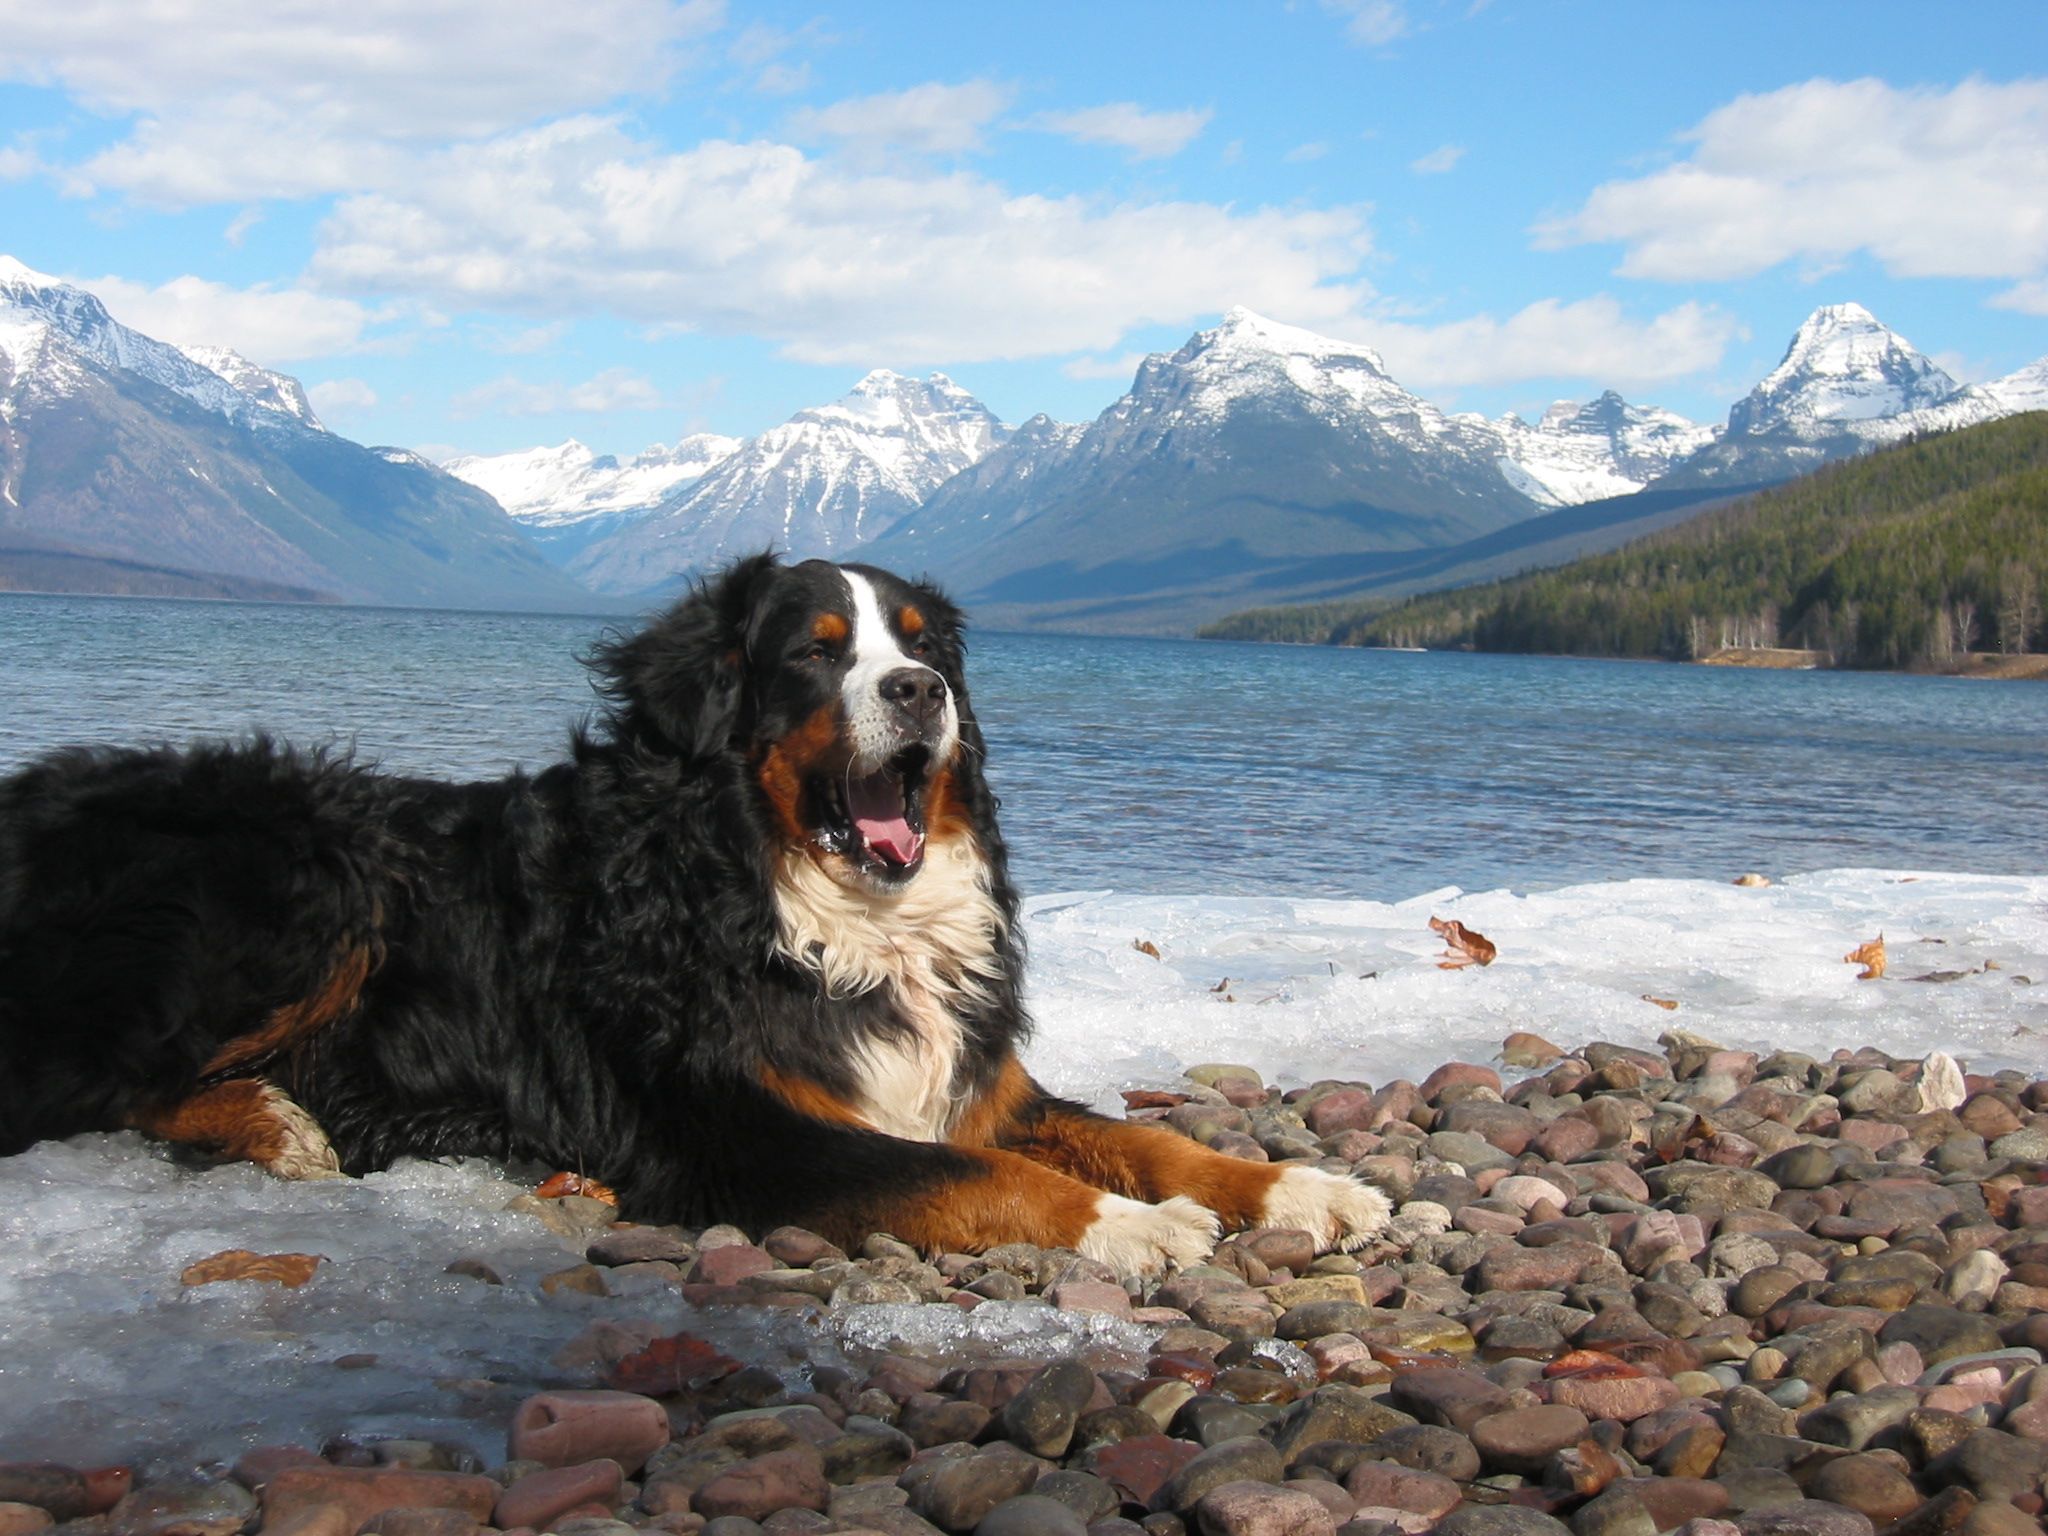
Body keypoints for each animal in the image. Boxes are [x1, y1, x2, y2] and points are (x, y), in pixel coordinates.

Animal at [0, 552, 1392, 1277]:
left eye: (925, 642)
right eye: (816, 650)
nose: (921, 689)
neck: (808, 904)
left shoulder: (976, 1079)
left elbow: (1133, 1137)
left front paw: (1293, 1189)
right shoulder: (751, 1135)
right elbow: (970, 1173)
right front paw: (1132, 1228)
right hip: (313, 870)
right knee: (85, 1081)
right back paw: (274, 1121)